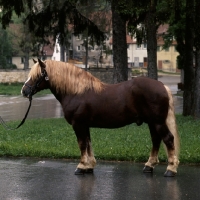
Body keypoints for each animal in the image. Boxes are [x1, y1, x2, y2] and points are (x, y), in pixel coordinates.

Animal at [21, 58, 180, 177]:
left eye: (37, 75)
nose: (24, 91)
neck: (77, 92)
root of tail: (162, 86)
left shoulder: (78, 124)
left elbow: (82, 144)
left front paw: (81, 166)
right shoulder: (85, 125)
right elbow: (88, 143)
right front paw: (89, 166)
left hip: (158, 122)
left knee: (168, 139)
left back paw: (171, 169)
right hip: (152, 123)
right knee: (156, 140)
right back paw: (149, 166)